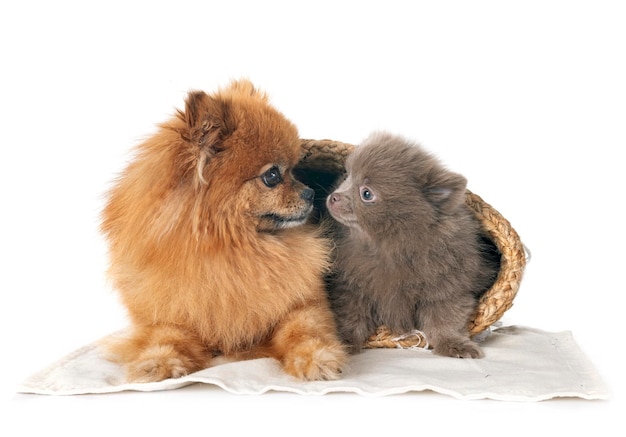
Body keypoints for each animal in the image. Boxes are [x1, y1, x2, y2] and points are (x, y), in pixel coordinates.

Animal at [102, 79, 346, 382]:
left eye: (295, 170)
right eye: (272, 176)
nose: (311, 193)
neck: (233, 251)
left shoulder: (301, 304)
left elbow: (305, 330)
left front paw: (317, 357)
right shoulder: (170, 313)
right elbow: (166, 336)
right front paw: (157, 362)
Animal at [326, 132, 498, 358]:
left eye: (366, 194)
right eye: (347, 175)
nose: (333, 197)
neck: (386, 247)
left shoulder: (446, 286)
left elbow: (444, 320)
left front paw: (454, 344)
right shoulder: (352, 287)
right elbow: (351, 318)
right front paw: (344, 341)